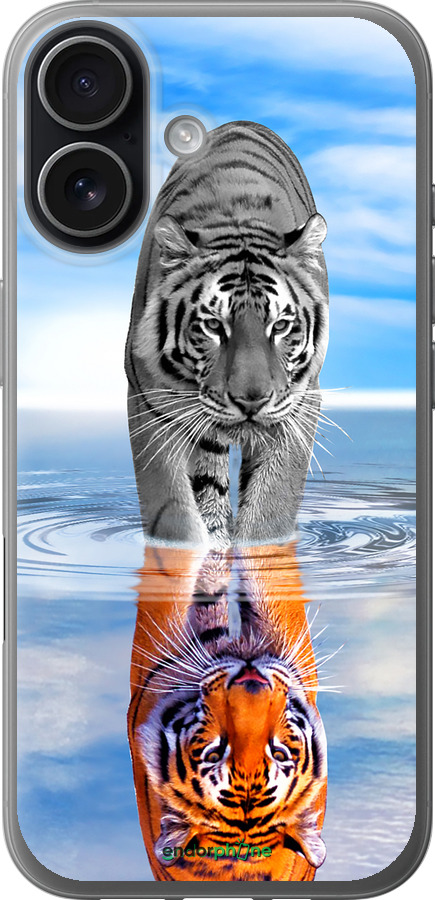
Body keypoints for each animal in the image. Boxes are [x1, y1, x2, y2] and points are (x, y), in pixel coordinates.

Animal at [125, 121, 329, 548]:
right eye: (213, 326)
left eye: (280, 326)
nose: (252, 401)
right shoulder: (149, 401)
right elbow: (173, 511)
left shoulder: (300, 404)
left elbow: (271, 508)